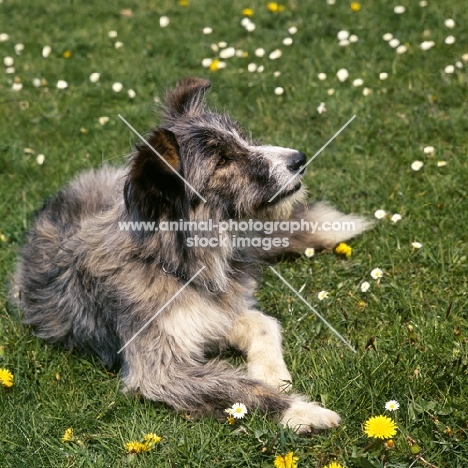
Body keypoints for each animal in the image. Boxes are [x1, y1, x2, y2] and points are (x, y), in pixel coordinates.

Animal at [11, 78, 372, 434]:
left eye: (242, 138)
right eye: (223, 160)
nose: (300, 158)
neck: (174, 264)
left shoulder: (215, 313)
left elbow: (263, 324)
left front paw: (273, 375)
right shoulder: (160, 370)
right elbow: (239, 389)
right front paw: (299, 410)